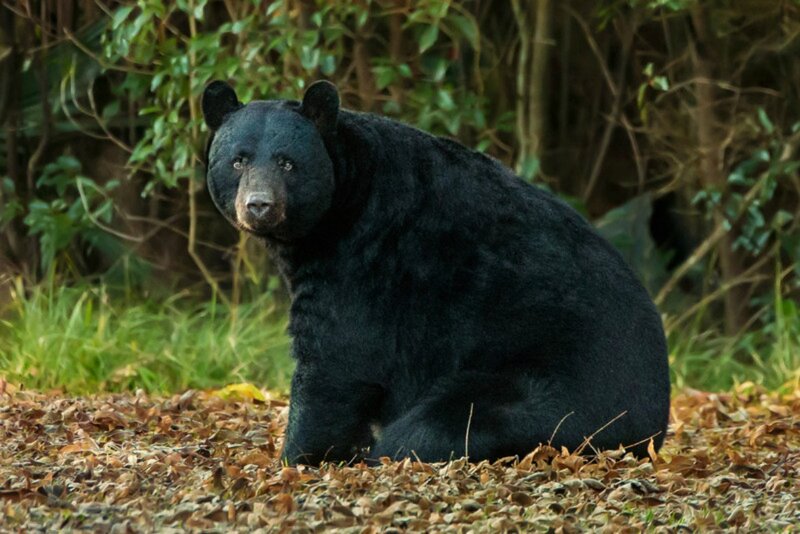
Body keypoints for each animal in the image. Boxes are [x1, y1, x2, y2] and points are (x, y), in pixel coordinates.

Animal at [202, 79, 671, 466]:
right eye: (238, 161)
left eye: (287, 163)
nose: (259, 206)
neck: (342, 206)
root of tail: (651, 427)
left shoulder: (365, 260)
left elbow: (337, 359)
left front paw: (299, 457)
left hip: (542, 390)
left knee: (433, 426)